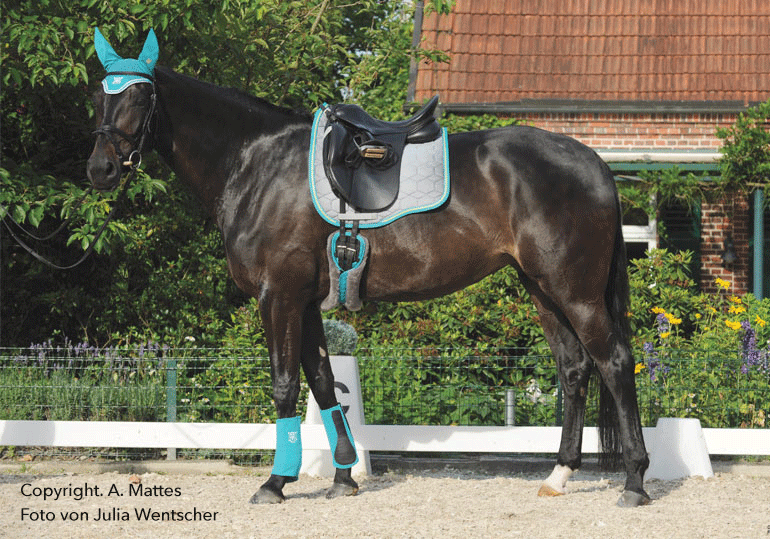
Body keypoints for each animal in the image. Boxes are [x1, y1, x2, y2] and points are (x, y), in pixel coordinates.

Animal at [86, 29, 650, 507]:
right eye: (99, 97)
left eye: (140, 97)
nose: (100, 169)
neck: (256, 163)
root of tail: (594, 163)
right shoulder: (306, 303)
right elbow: (320, 381)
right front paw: (341, 476)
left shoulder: (279, 296)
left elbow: (284, 384)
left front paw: (275, 482)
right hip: (541, 288)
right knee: (574, 368)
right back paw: (559, 475)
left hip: (575, 291)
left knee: (615, 363)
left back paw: (635, 482)